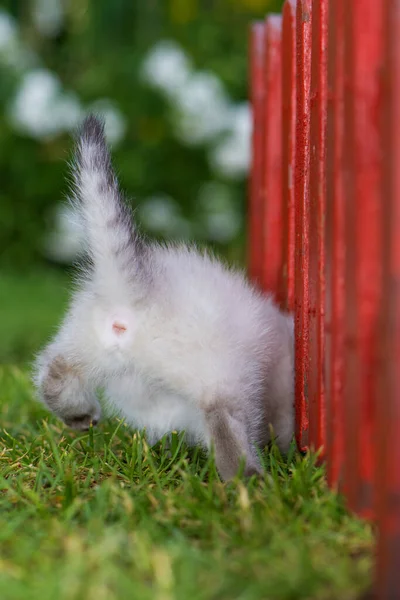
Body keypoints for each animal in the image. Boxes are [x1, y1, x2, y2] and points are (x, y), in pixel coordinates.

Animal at [32, 115, 294, 480]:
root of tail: (136, 292)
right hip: (220, 375)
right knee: (222, 422)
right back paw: (248, 481)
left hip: (80, 343)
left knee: (54, 373)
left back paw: (79, 414)